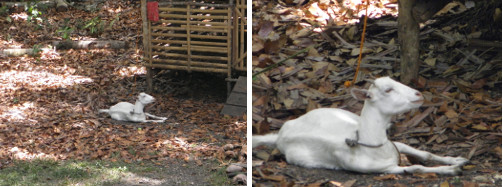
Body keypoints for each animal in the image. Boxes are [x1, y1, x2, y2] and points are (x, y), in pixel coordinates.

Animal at [254, 76, 470, 175]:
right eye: (388, 89)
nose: (418, 94)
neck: (370, 146)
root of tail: (280, 134)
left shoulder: (395, 144)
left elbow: (425, 154)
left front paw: (457, 159)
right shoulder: (385, 169)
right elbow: (416, 168)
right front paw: (451, 170)